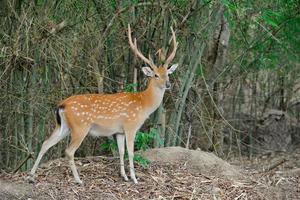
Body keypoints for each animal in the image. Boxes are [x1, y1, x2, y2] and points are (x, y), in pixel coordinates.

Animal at [27, 24, 178, 185]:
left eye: (168, 73)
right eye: (156, 75)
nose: (168, 84)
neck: (143, 103)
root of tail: (61, 105)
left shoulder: (119, 131)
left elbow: (121, 152)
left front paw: (124, 176)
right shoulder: (130, 125)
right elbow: (131, 152)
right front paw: (134, 178)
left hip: (63, 126)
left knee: (45, 143)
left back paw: (31, 176)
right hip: (80, 126)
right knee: (69, 151)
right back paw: (78, 180)